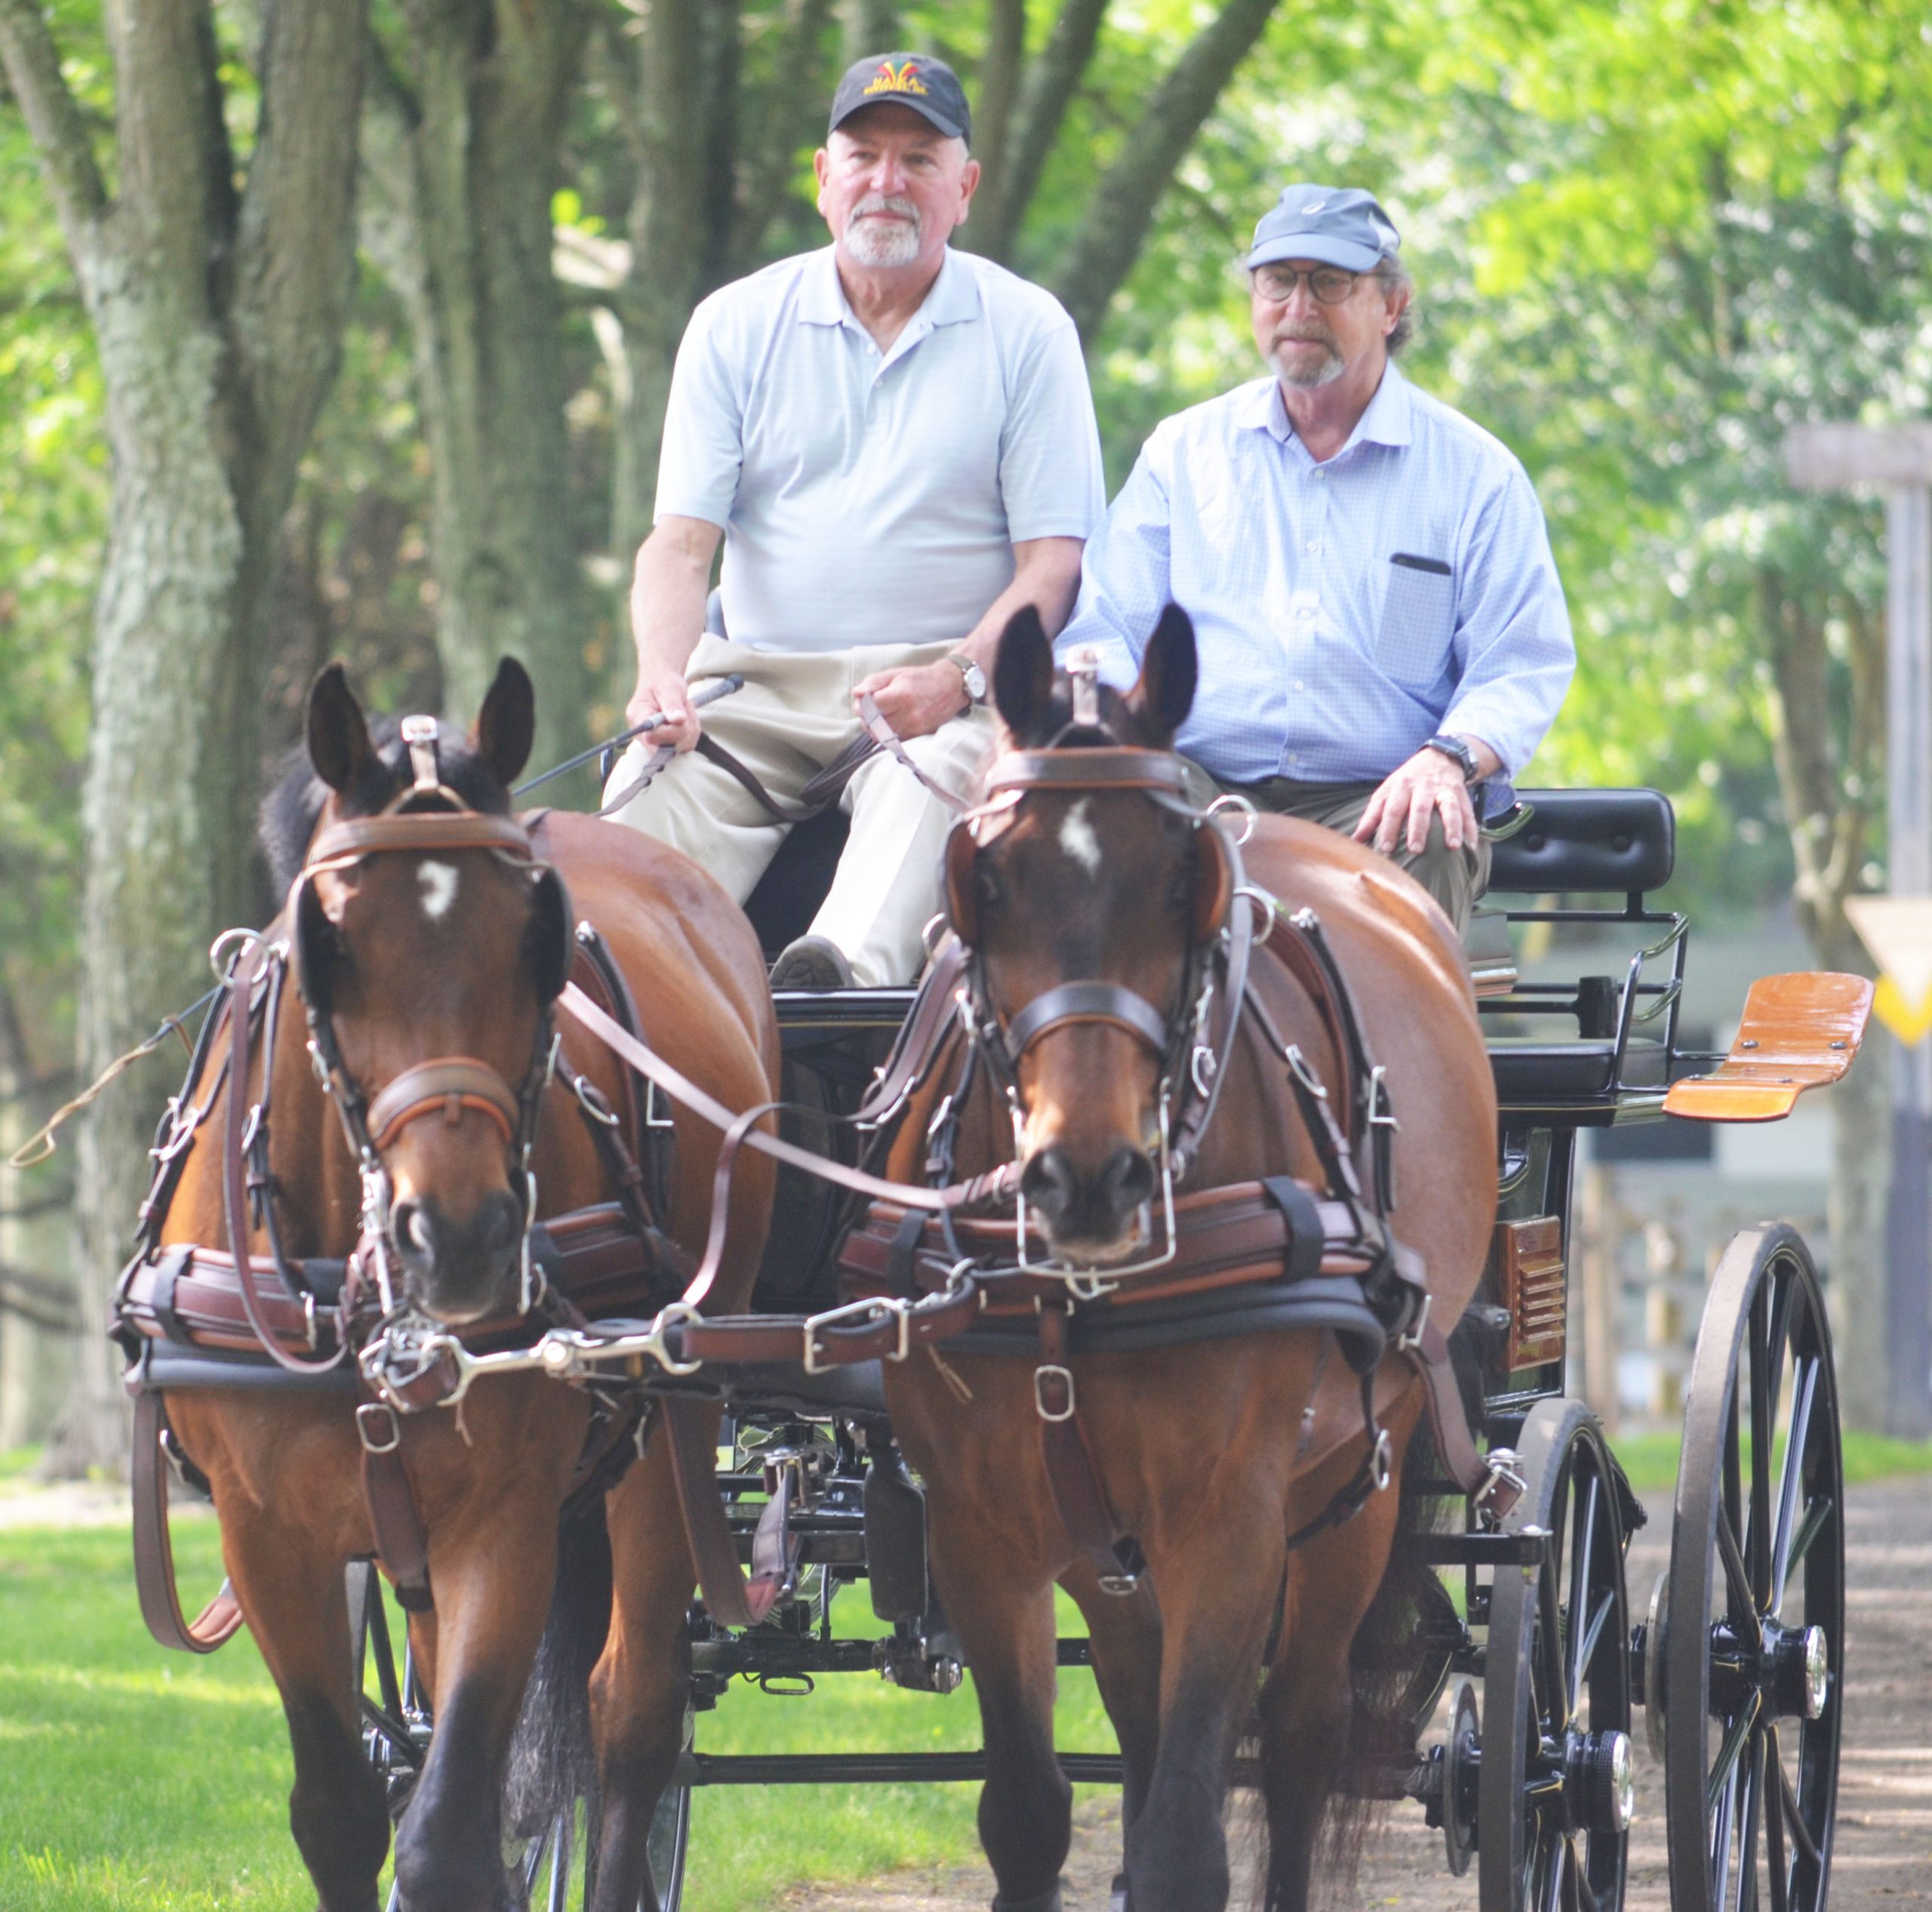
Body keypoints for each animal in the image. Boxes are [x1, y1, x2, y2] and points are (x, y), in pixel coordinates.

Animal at [126, 660, 777, 1912]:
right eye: (326, 938)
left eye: (537, 938)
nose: (466, 1235)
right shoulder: (267, 1533)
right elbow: (342, 1810)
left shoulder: (506, 1518)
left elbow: (452, 1834)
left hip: (669, 1433)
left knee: (632, 1717)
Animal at [884, 613, 1499, 1912]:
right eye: (985, 879)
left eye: (1181, 882)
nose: (1088, 1175)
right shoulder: (979, 1526)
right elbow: (1029, 1812)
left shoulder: (1231, 1519)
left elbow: (1185, 1838)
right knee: (1141, 1712)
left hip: (1353, 1480)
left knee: (1306, 1732)